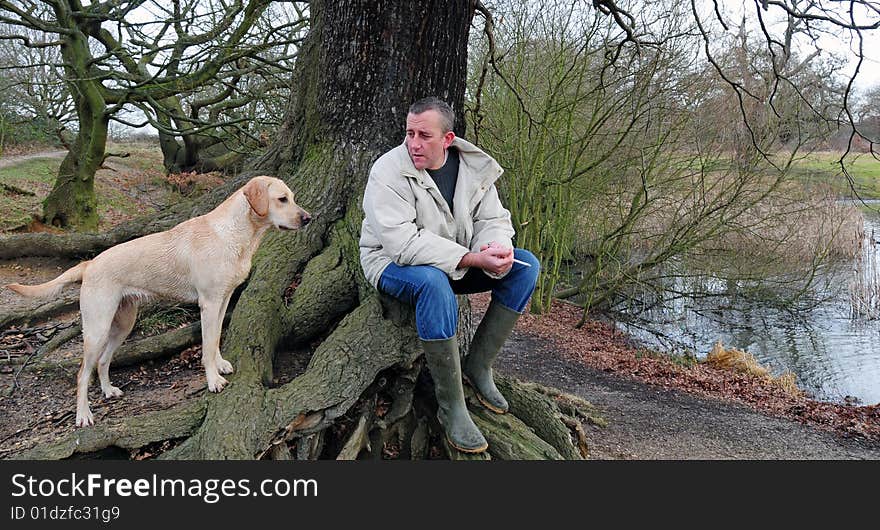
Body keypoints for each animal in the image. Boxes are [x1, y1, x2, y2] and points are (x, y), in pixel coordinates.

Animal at [5, 174, 310, 424]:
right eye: (282, 199)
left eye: (293, 197)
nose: (308, 218)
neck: (233, 234)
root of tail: (89, 264)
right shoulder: (209, 304)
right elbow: (206, 345)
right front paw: (213, 380)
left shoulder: (223, 301)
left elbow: (215, 340)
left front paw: (221, 364)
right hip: (97, 328)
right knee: (82, 373)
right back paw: (83, 415)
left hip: (123, 324)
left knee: (103, 362)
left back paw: (108, 390)